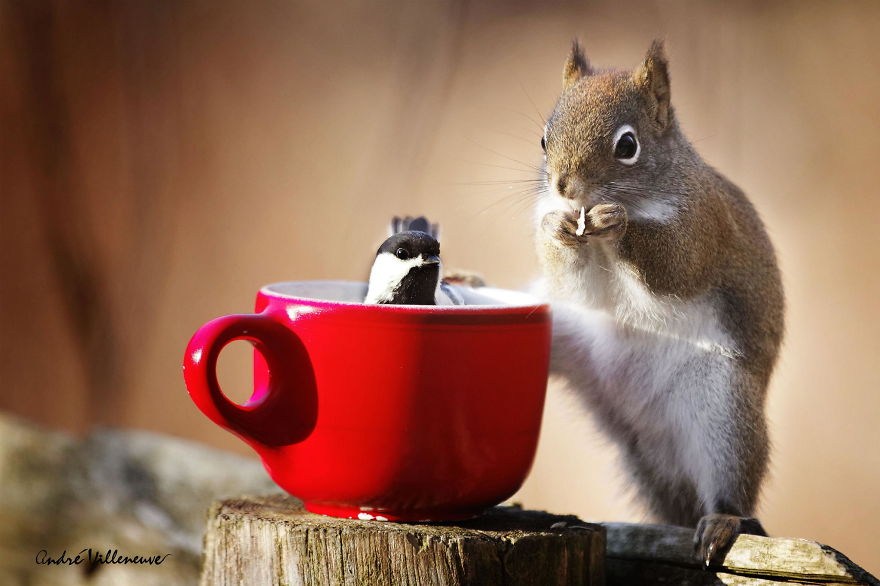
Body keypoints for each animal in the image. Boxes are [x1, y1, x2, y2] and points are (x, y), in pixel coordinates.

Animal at [533, 40, 784, 566]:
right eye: (544, 140)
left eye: (627, 146)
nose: (565, 187)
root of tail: (636, 419)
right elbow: (576, 285)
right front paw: (556, 227)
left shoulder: (703, 226)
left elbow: (676, 268)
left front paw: (619, 223)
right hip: (569, 342)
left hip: (721, 406)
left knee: (733, 480)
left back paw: (724, 519)